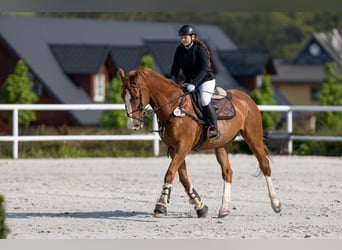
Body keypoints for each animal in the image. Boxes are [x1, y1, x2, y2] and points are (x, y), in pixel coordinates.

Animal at [117, 67, 280, 218]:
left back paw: (276, 204)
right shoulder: (174, 149)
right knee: (227, 172)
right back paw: (224, 208)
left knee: (265, 165)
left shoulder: (183, 147)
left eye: (135, 96)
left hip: (253, 139)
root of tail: (247, 98)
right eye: (122, 96)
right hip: (221, 146)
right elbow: (183, 178)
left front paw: (161, 205)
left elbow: (170, 173)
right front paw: (200, 206)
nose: (133, 125)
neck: (174, 107)